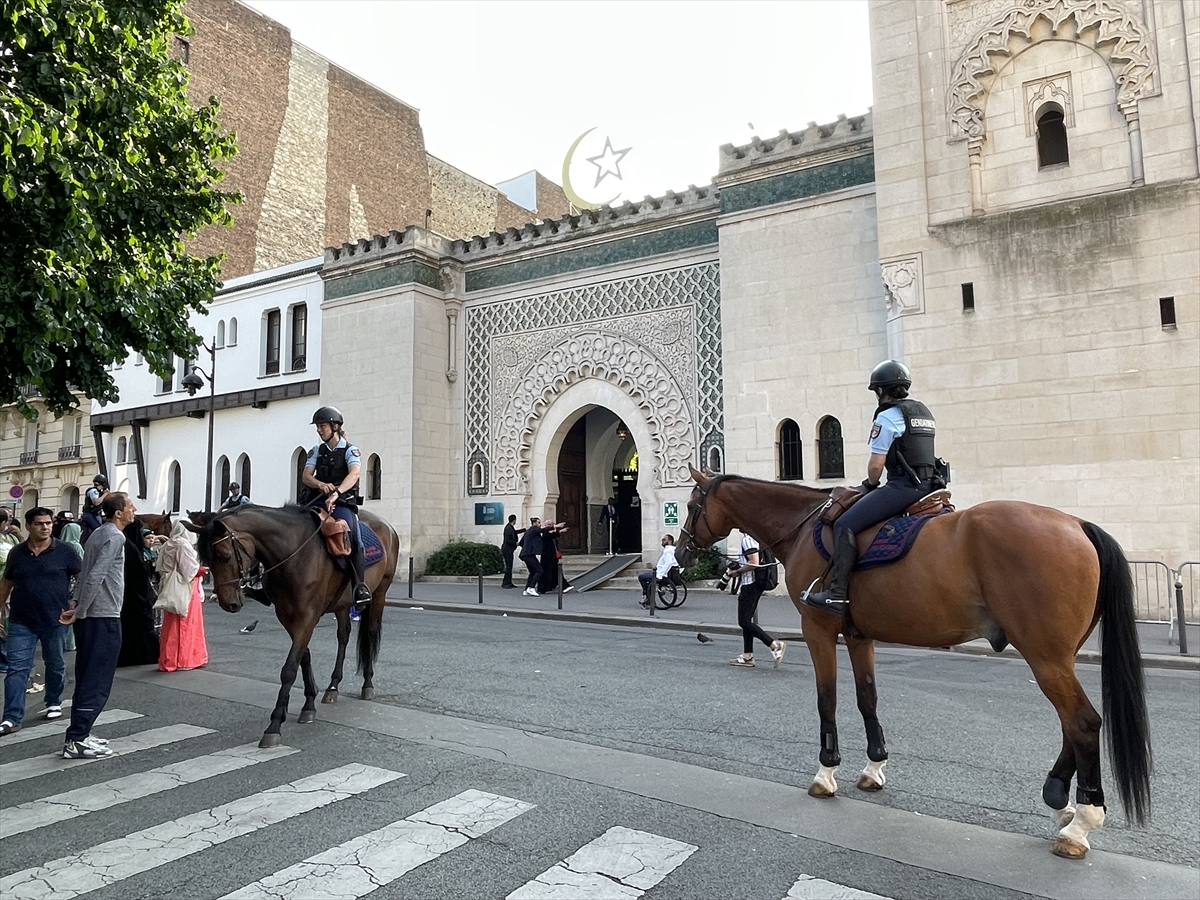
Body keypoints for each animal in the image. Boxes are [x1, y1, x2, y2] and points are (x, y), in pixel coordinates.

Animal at [181, 504, 398, 748]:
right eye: (205, 559)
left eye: (224, 556)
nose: (229, 604)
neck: (292, 553)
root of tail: (388, 527)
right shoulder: (288, 617)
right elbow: (304, 657)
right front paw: (309, 702)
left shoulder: (307, 618)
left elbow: (289, 668)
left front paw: (275, 723)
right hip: (342, 604)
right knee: (343, 636)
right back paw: (333, 686)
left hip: (379, 594)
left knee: (370, 634)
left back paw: (367, 684)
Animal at [676, 468, 1152, 864]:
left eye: (692, 504)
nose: (680, 555)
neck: (805, 526)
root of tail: (1077, 524)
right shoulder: (858, 636)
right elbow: (867, 697)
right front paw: (873, 767)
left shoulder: (818, 630)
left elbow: (827, 700)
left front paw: (826, 771)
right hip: (1056, 657)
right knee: (1072, 725)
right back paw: (1059, 800)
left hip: (1045, 656)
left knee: (1083, 723)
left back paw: (1081, 824)